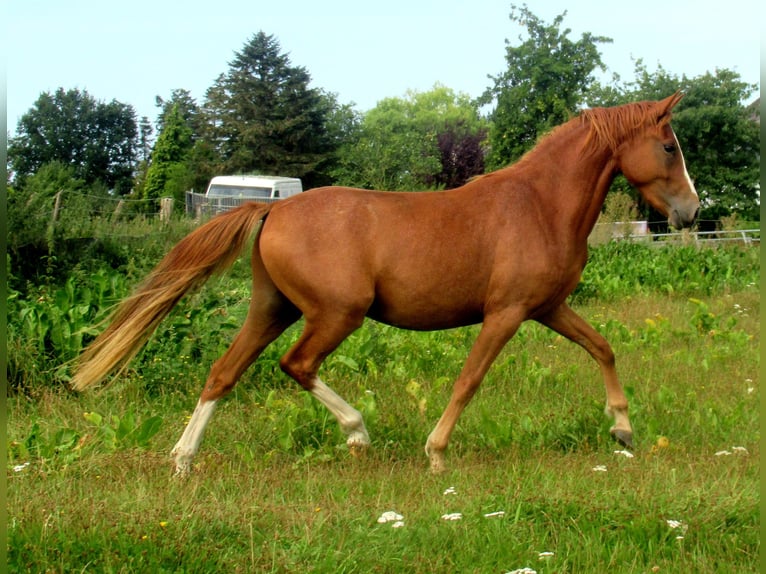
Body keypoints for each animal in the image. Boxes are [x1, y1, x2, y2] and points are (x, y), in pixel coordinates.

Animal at [73, 92, 704, 474]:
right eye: (669, 146)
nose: (693, 212)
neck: (539, 204)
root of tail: (273, 209)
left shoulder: (547, 307)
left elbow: (603, 347)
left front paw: (622, 430)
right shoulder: (506, 313)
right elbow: (468, 381)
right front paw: (437, 453)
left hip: (272, 308)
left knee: (223, 373)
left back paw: (183, 459)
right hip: (336, 314)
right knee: (295, 365)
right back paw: (356, 433)